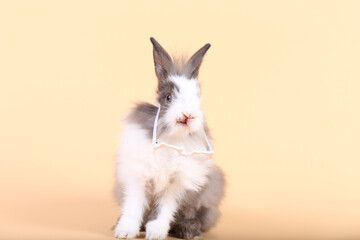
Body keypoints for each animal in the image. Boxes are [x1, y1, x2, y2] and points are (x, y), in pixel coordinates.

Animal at [114, 36, 225, 239]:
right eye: (168, 97)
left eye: (198, 98)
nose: (189, 115)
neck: (172, 138)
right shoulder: (138, 176)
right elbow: (134, 206)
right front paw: (125, 231)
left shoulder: (177, 183)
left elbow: (163, 209)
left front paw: (156, 233)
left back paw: (189, 230)